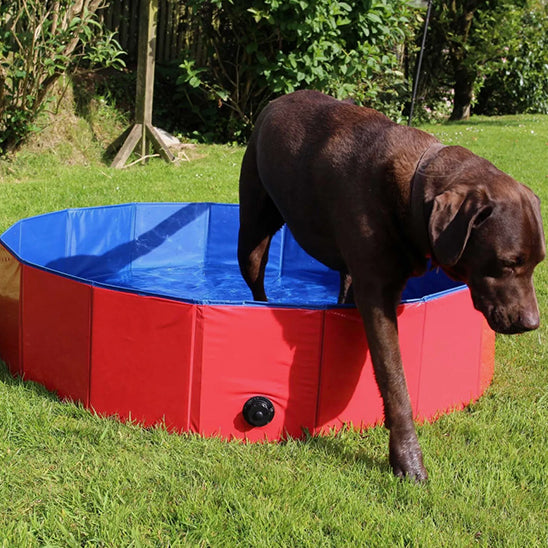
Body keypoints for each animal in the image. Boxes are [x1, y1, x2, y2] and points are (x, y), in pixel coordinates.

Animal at [237, 92, 544, 482]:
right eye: (507, 263)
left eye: (537, 263)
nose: (532, 323)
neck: (412, 190)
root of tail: (277, 100)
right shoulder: (377, 298)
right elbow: (395, 382)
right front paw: (408, 458)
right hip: (253, 227)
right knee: (255, 274)